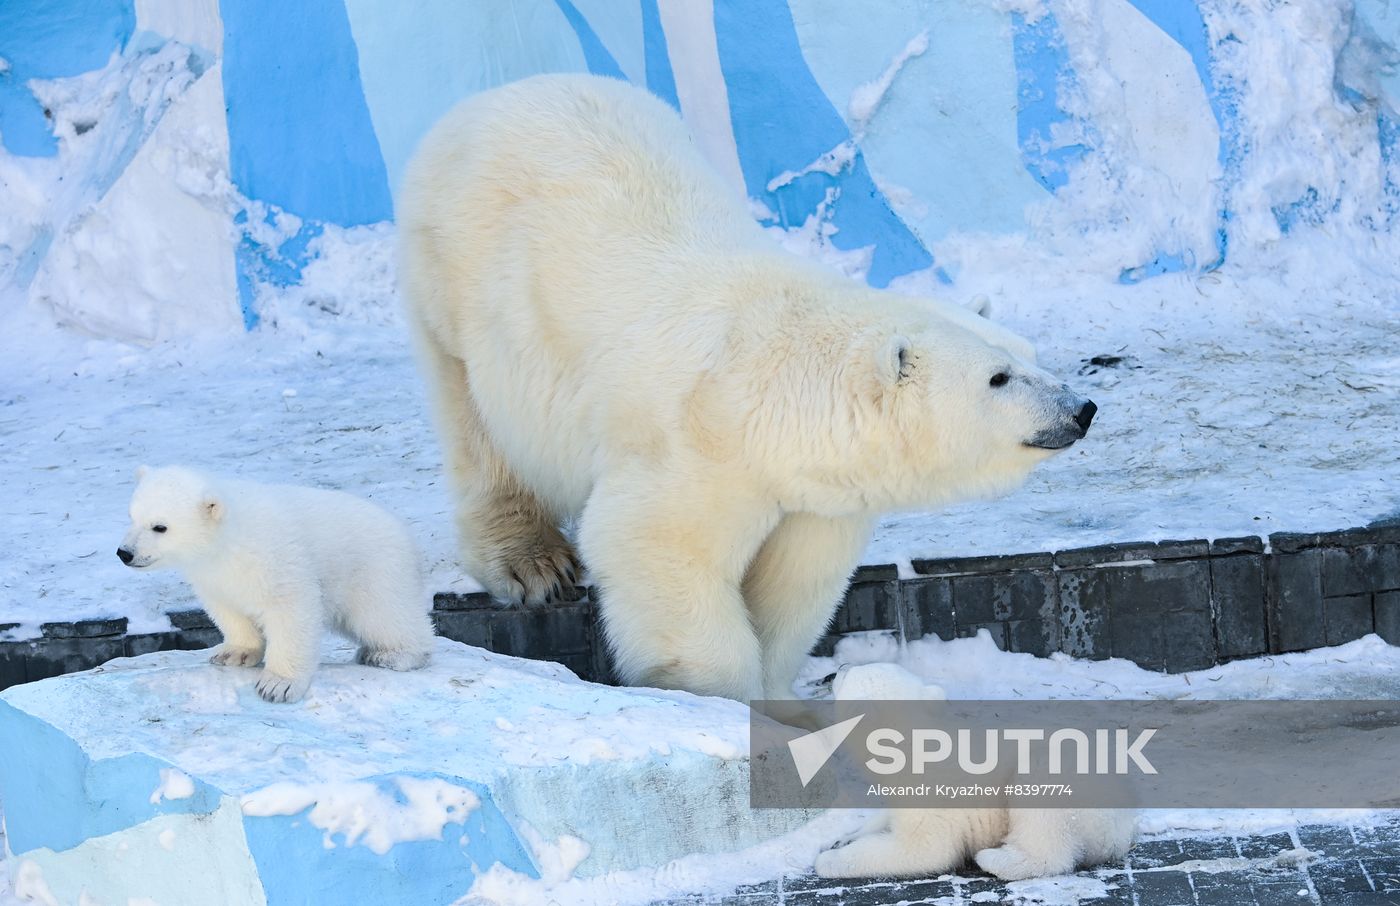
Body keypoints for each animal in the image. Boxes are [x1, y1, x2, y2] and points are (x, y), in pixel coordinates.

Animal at [117, 466, 435, 703]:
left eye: (160, 527)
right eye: (131, 516)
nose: (124, 553)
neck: (228, 540)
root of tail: (406, 536)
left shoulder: (275, 559)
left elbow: (291, 609)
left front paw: (278, 684)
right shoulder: (213, 575)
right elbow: (228, 609)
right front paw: (233, 653)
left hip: (374, 571)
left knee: (386, 616)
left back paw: (390, 655)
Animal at [397, 73, 1095, 701]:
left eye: (1033, 356)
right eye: (998, 377)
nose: (1081, 409)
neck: (778, 386)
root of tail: (497, 96)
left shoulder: (812, 491)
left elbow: (794, 582)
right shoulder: (695, 449)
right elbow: (655, 547)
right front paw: (724, 697)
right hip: (458, 283)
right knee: (475, 420)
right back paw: (533, 560)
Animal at [814, 663, 1136, 881]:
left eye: (850, 673)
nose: (835, 671)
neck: (911, 746)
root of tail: (1120, 830)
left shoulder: (934, 796)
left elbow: (923, 849)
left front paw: (828, 859)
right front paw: (843, 837)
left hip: (1068, 782)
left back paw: (995, 858)